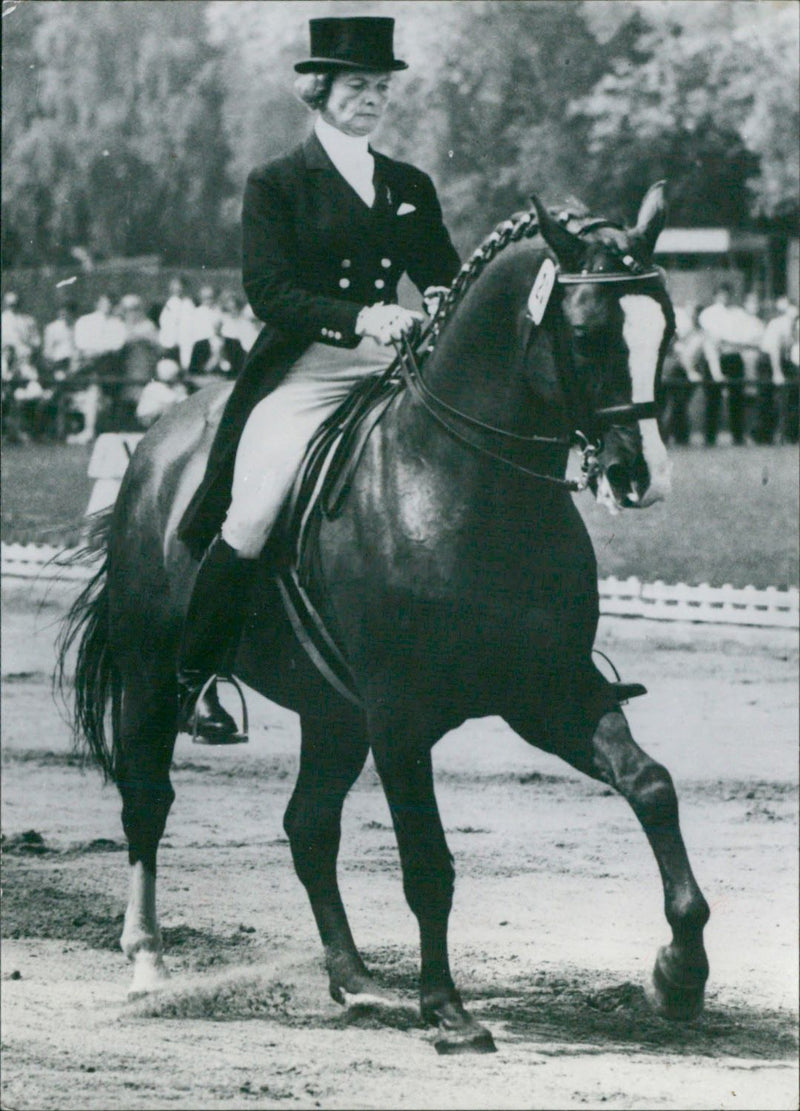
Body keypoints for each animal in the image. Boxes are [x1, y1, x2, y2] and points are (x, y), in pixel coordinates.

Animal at [62, 186, 711, 1053]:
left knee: (308, 825)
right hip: (152, 676)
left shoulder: (548, 691)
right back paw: (148, 961)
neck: (469, 481)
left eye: (664, 326)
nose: (642, 476)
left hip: (332, 712)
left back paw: (356, 979)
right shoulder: (402, 715)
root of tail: (157, 442)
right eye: (586, 333)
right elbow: (428, 864)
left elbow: (650, 785)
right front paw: (448, 1009)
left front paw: (680, 970)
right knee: (147, 799)